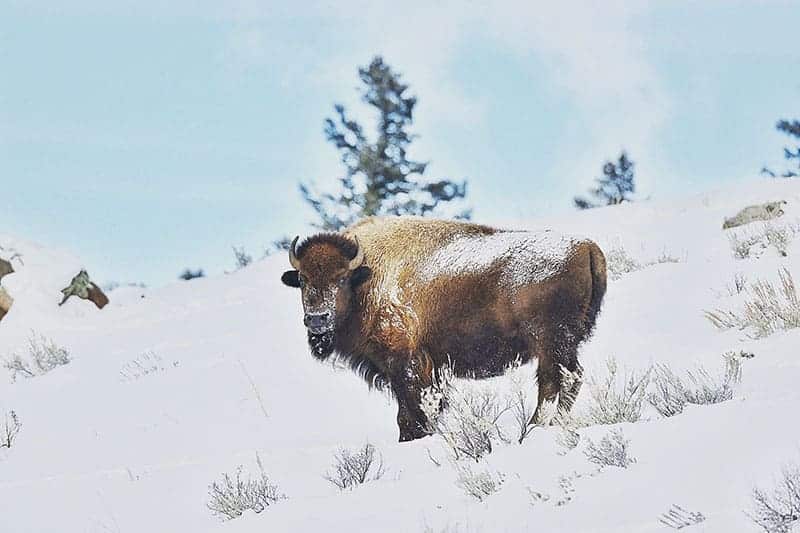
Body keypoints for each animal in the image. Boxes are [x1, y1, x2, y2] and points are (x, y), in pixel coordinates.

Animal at [282, 216, 608, 440]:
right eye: (302, 280)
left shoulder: (406, 363)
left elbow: (411, 412)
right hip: (562, 346)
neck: (366, 277)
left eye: (340, 279)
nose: (317, 318)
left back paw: (532, 429)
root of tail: (587, 247)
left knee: (555, 382)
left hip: (550, 343)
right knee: (567, 380)